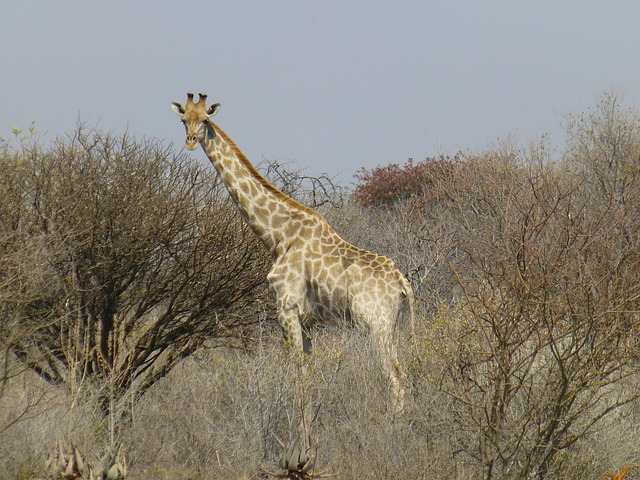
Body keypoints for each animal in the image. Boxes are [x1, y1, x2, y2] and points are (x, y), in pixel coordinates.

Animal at [170, 93, 415, 407]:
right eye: (183, 119)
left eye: (205, 119)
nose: (190, 141)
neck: (278, 236)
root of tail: (401, 282)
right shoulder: (307, 320)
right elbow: (307, 378)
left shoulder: (285, 308)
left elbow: (297, 376)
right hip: (394, 324)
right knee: (403, 372)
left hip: (375, 324)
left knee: (393, 375)